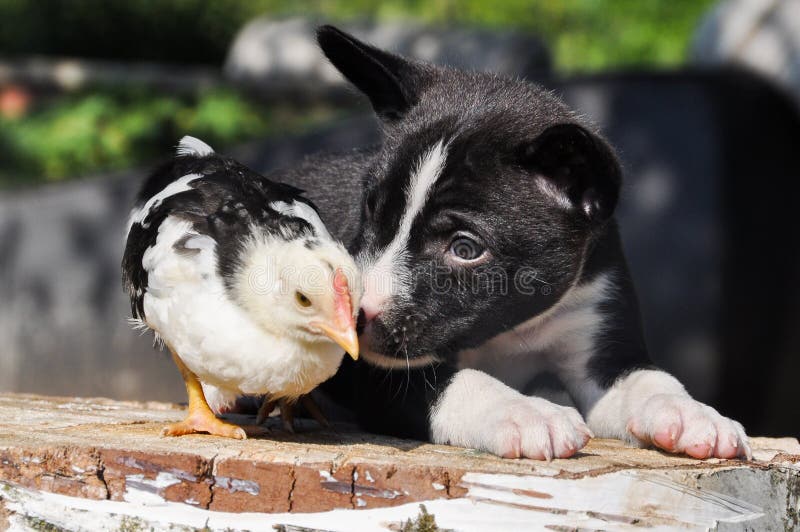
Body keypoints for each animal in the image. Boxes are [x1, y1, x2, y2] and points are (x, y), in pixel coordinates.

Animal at [276, 25, 752, 460]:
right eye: (371, 214)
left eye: (465, 249)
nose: (354, 316)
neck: (509, 331)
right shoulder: (376, 371)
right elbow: (457, 382)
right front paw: (525, 412)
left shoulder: (600, 333)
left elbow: (648, 379)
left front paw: (692, 414)